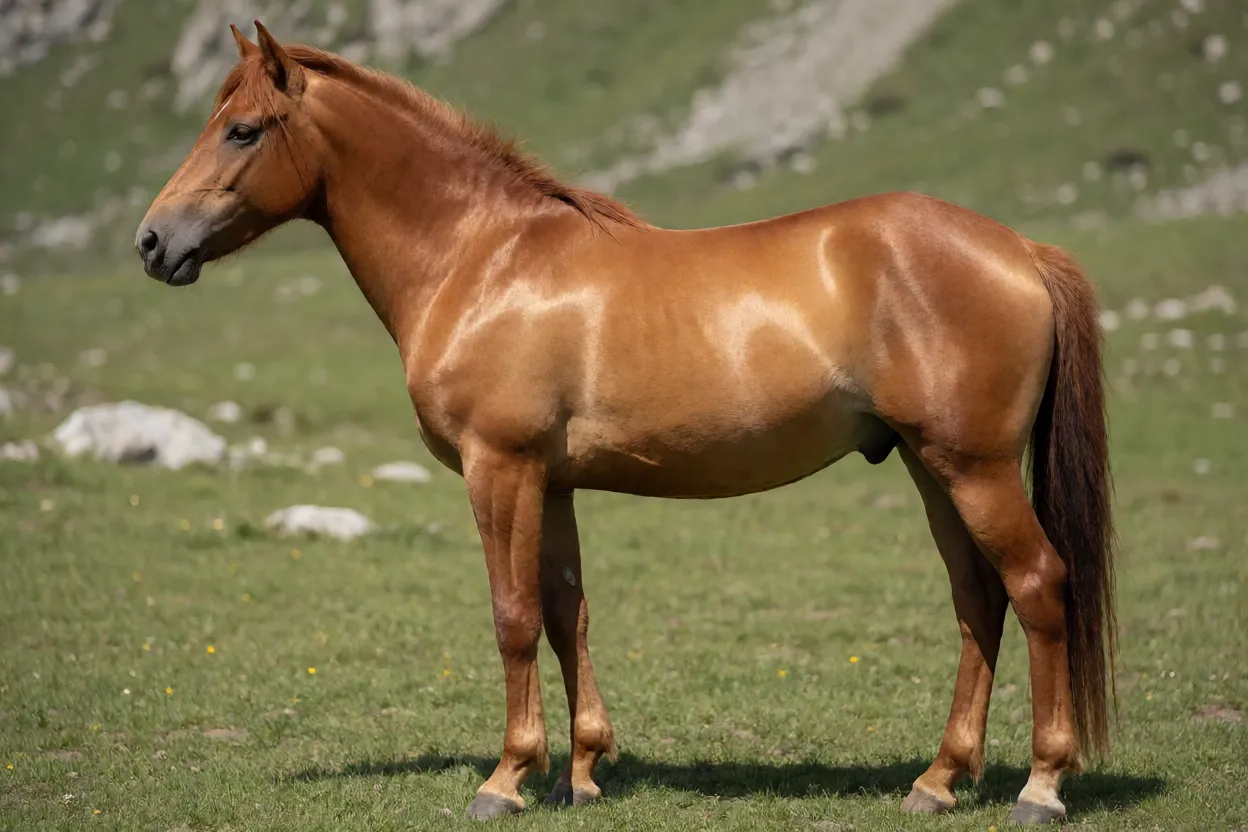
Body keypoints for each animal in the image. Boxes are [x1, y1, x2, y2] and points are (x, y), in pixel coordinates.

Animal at [136, 22, 1117, 825]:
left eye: (242, 129)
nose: (151, 242)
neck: (483, 258)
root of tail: (1021, 249)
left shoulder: (501, 468)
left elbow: (513, 616)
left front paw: (506, 779)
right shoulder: (552, 481)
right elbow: (567, 611)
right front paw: (581, 773)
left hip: (972, 467)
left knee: (1037, 585)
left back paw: (1040, 786)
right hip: (928, 464)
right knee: (978, 600)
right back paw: (938, 781)